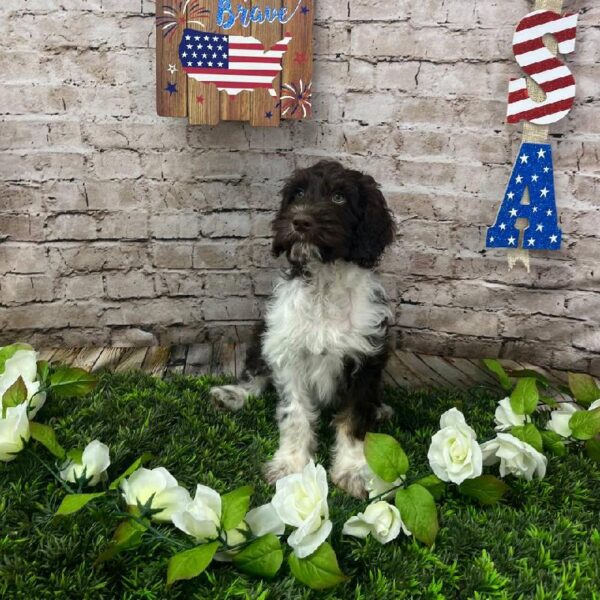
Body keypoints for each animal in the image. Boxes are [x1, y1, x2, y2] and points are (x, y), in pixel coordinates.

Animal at [209, 161, 396, 496]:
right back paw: (232, 395)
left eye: (339, 197)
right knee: (256, 375)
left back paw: (381, 409)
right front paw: (290, 465)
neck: (324, 284)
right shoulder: (287, 353)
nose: (300, 221)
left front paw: (353, 470)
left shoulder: (366, 357)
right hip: (263, 331)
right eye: (297, 194)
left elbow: (355, 418)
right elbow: (294, 413)